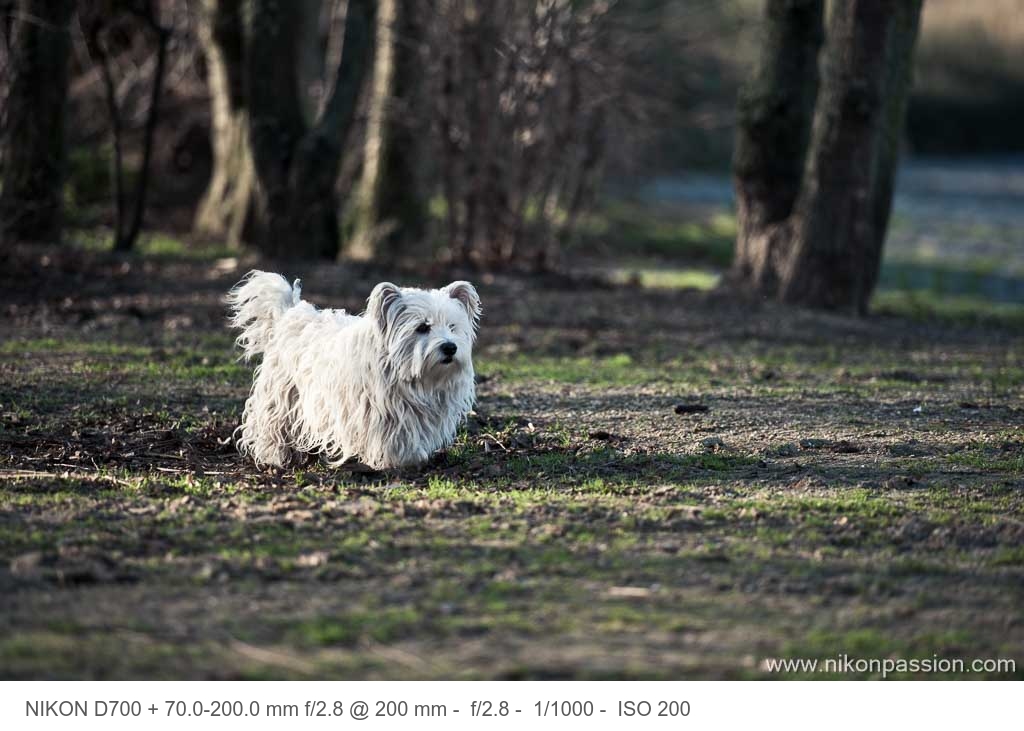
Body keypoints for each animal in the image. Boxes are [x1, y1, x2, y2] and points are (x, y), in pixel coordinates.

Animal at [227, 268, 479, 466]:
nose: (450, 347)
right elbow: (389, 436)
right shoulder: (378, 410)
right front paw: (395, 460)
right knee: (272, 425)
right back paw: (274, 455)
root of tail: (289, 313)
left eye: (452, 327)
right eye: (423, 327)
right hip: (281, 395)